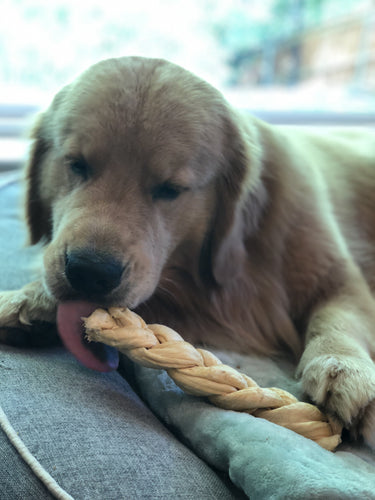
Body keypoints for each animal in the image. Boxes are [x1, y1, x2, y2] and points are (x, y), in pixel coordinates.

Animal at [0, 56, 375, 448]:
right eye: (76, 164)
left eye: (170, 189)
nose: (90, 272)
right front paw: (29, 299)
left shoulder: (337, 273)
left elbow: (340, 318)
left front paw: (345, 369)